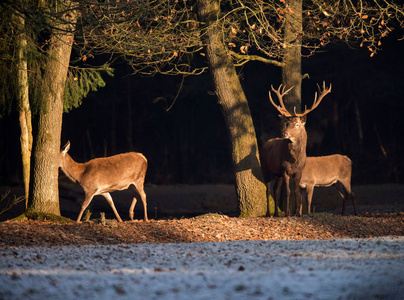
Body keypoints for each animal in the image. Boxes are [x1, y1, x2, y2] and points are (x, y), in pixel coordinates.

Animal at [260, 82, 332, 216]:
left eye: (297, 124)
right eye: (287, 123)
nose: (285, 133)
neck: (295, 160)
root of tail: (264, 144)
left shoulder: (298, 172)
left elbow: (296, 192)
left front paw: (297, 213)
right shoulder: (285, 170)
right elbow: (288, 191)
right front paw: (288, 213)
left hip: (278, 174)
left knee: (275, 189)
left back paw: (276, 213)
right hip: (265, 167)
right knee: (267, 189)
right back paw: (268, 213)